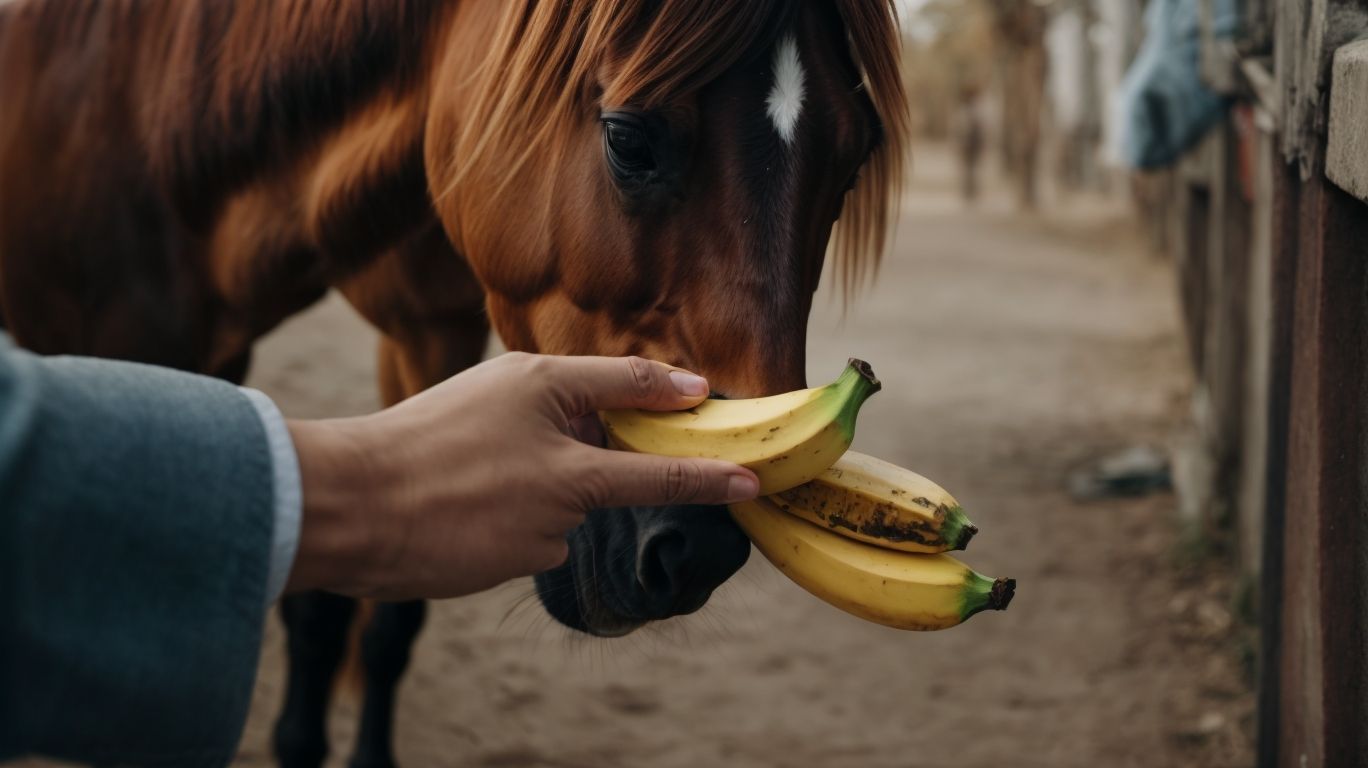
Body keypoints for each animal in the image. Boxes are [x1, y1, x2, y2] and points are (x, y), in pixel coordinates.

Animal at [0, 1, 907, 765]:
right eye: (628, 139)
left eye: (852, 160)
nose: (697, 552)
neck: (152, 116)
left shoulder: (428, 332)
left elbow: (392, 608)